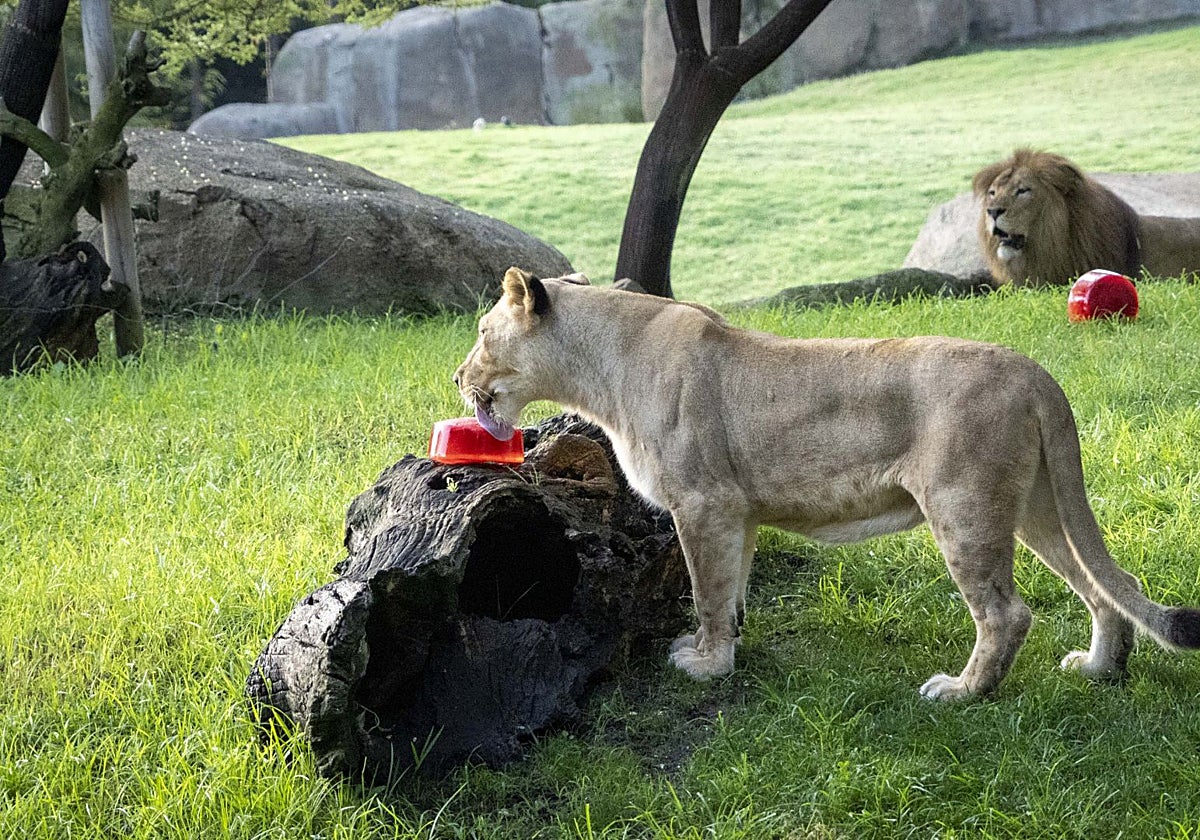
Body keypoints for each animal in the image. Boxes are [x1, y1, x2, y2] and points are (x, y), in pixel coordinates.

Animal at [454, 268, 1200, 700]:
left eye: (485, 333)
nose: (458, 378)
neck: (602, 370)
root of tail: (1037, 372)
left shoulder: (703, 501)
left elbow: (704, 591)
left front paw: (706, 668)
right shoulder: (738, 511)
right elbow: (730, 589)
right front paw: (728, 648)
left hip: (962, 506)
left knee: (1006, 613)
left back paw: (961, 693)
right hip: (1036, 505)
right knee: (1110, 584)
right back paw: (1100, 670)